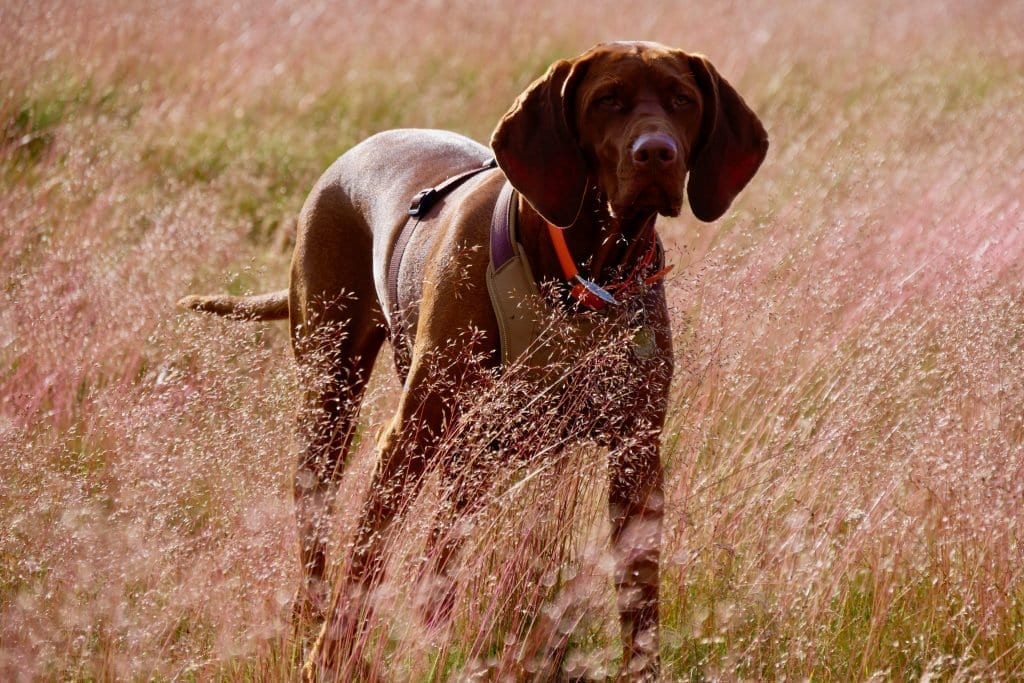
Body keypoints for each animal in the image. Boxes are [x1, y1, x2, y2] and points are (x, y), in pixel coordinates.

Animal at [180, 41, 765, 679]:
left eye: (682, 100)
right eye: (607, 100)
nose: (657, 153)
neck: (584, 274)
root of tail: (351, 156)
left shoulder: (636, 458)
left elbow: (640, 606)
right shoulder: (409, 435)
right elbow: (365, 564)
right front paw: (329, 658)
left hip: (472, 452)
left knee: (440, 550)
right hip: (332, 400)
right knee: (321, 531)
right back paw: (312, 623)